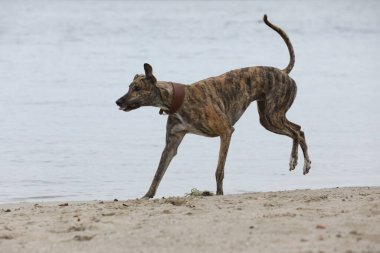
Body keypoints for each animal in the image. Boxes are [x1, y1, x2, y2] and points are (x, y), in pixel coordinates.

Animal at [116, 14, 312, 199]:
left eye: (137, 88)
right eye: (129, 86)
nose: (118, 101)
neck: (178, 99)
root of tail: (283, 72)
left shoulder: (226, 132)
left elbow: (219, 170)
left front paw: (219, 193)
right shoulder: (171, 145)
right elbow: (158, 173)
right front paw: (146, 195)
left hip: (272, 116)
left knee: (296, 133)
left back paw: (301, 162)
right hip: (269, 118)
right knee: (298, 129)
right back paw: (296, 160)